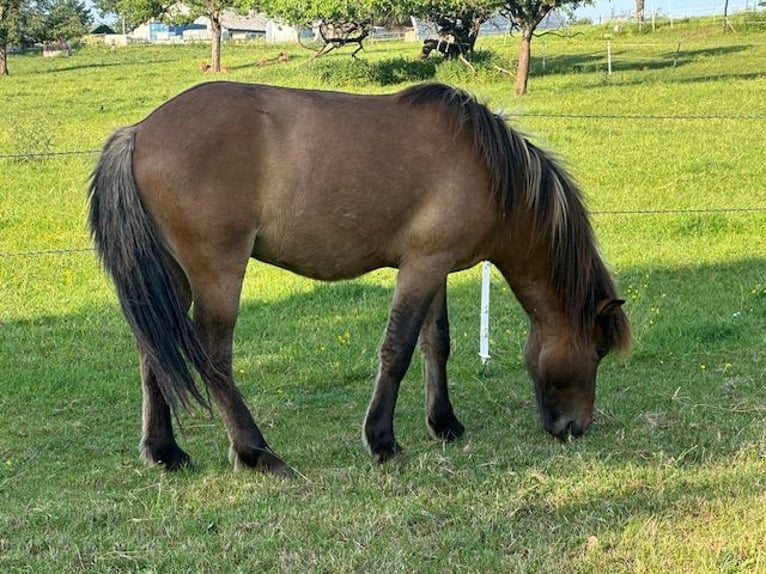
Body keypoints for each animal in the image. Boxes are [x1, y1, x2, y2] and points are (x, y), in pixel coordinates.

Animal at [88, 81, 631, 476]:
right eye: (599, 351)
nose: (575, 427)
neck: (488, 168)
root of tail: (138, 132)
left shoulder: (433, 267)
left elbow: (437, 344)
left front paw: (444, 423)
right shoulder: (422, 268)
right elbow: (397, 350)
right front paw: (382, 440)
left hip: (169, 277)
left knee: (153, 352)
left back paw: (165, 452)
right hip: (217, 273)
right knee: (212, 357)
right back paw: (255, 452)